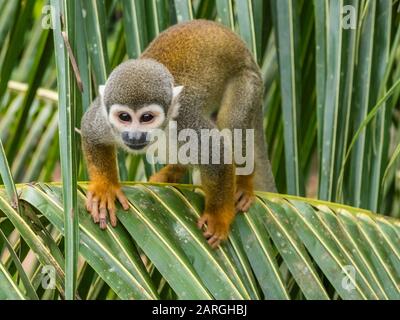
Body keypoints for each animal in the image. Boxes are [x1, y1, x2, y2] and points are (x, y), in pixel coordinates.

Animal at [80, 20, 276, 249]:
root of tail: (247, 53)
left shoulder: (184, 120)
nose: (134, 136)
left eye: (146, 117)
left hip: (245, 82)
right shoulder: (104, 118)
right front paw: (105, 188)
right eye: (124, 117)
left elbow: (218, 153)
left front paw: (218, 219)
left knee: (233, 125)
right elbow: (89, 130)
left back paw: (244, 184)